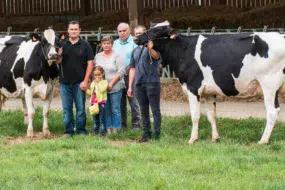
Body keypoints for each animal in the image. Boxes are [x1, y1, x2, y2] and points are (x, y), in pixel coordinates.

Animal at [134, 20, 284, 144]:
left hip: (269, 84)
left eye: (157, 31)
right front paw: (215, 138)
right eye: (152, 27)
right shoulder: (209, 92)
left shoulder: (193, 88)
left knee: (272, 111)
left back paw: (263, 141)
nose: (136, 38)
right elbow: (211, 115)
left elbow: (195, 115)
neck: (183, 50)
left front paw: (192, 139)